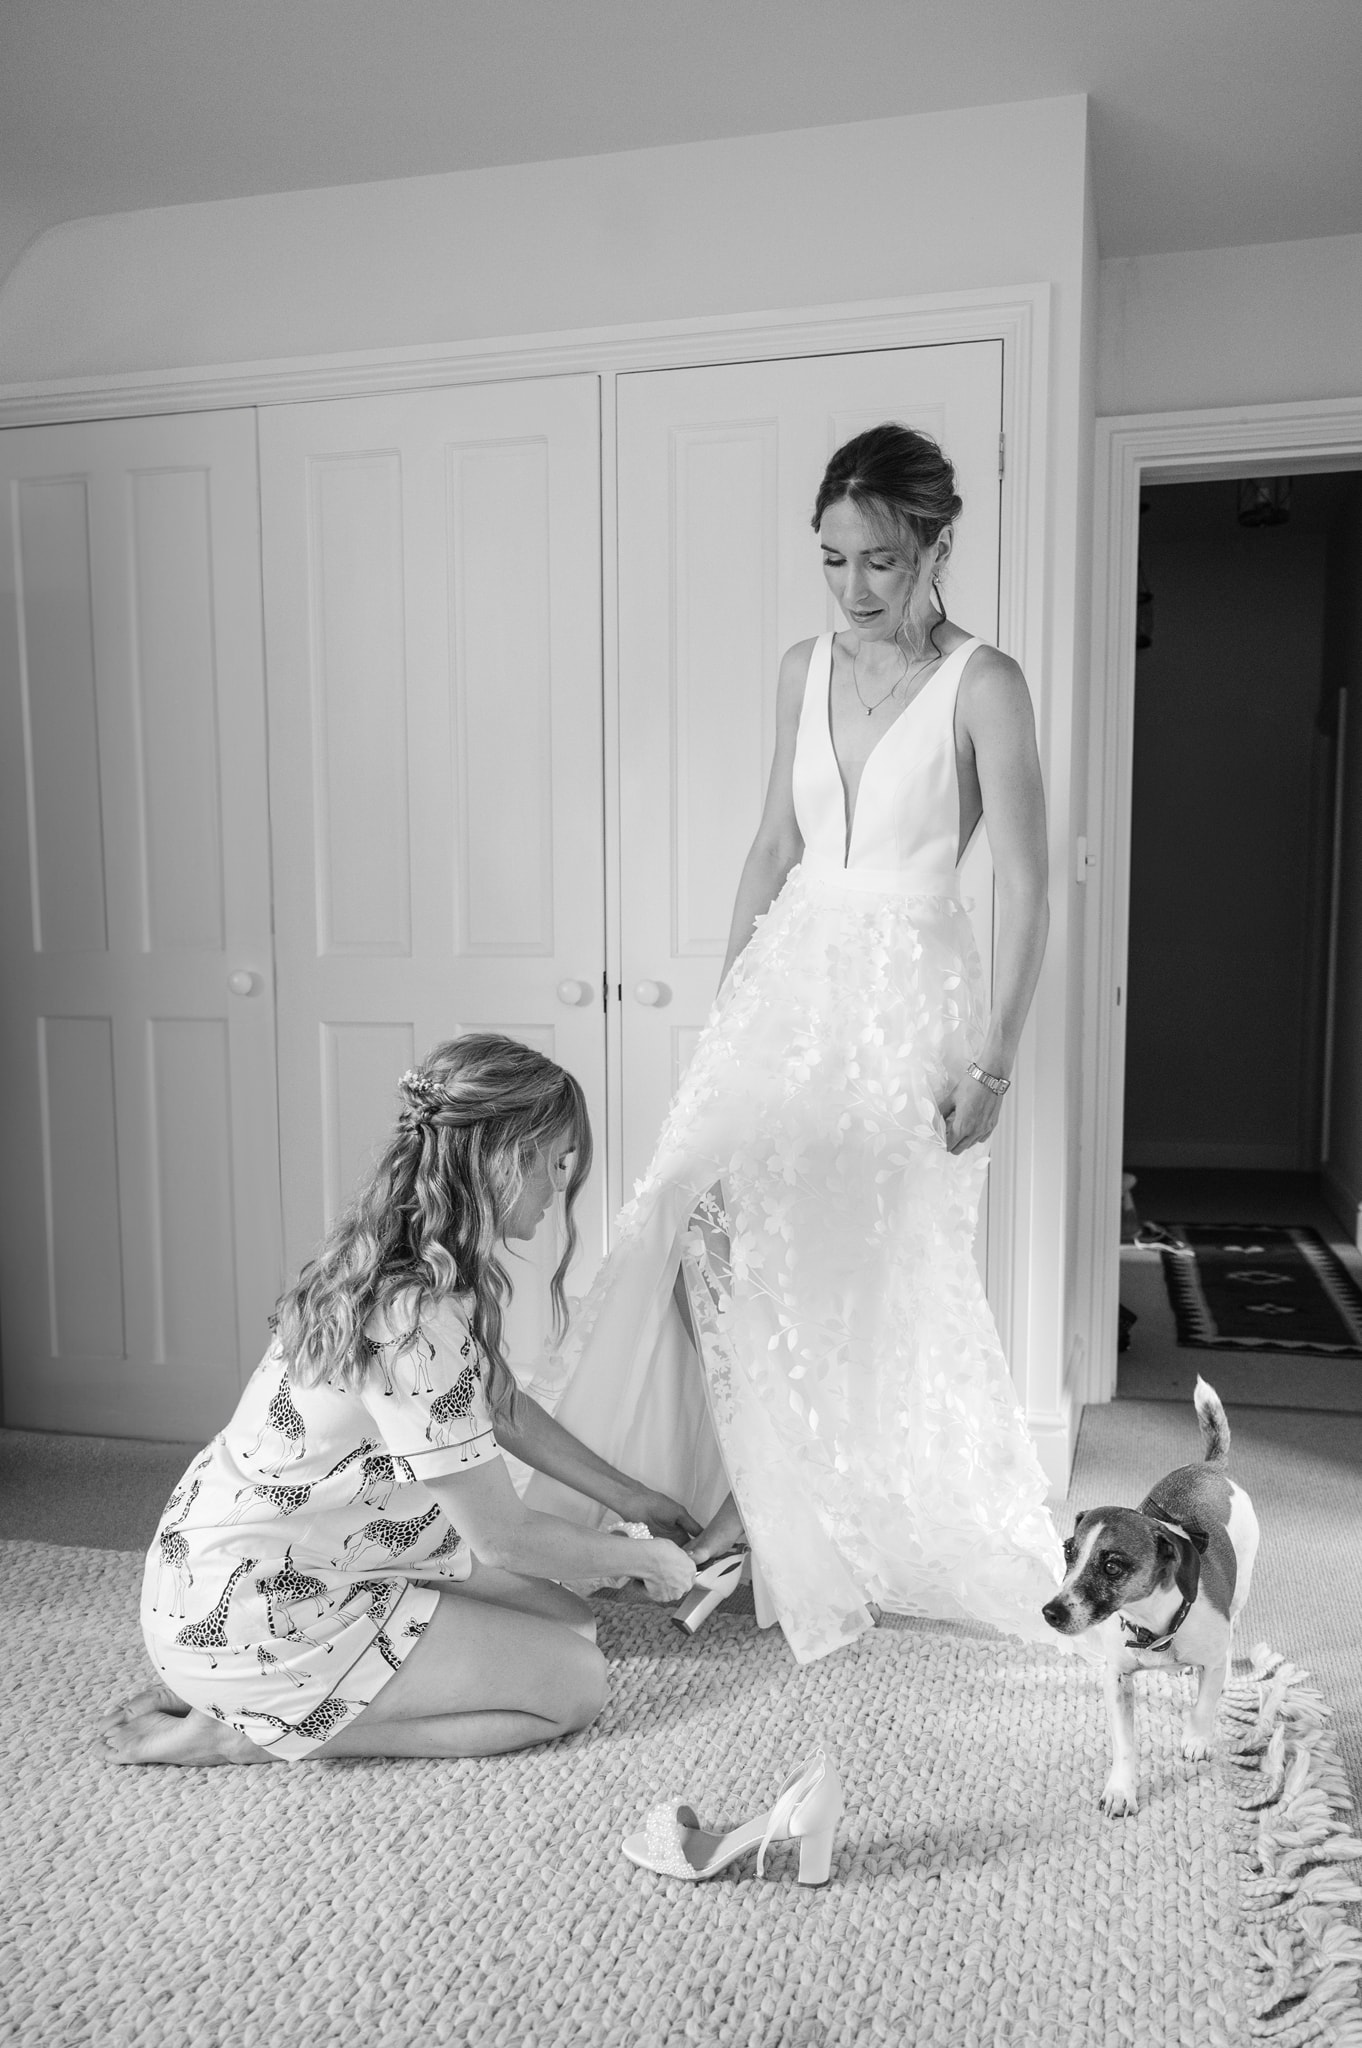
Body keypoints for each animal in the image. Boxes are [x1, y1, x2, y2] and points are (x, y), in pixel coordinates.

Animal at [1040, 1384, 1253, 1818]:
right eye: (1069, 1551)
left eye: (1112, 1566)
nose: (1050, 1612)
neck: (1153, 1624)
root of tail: (1211, 1469)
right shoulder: (1117, 1679)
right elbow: (1125, 1746)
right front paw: (1122, 1791)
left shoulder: (1212, 1660)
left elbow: (1204, 1704)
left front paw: (1197, 1738)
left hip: (1242, 1589)